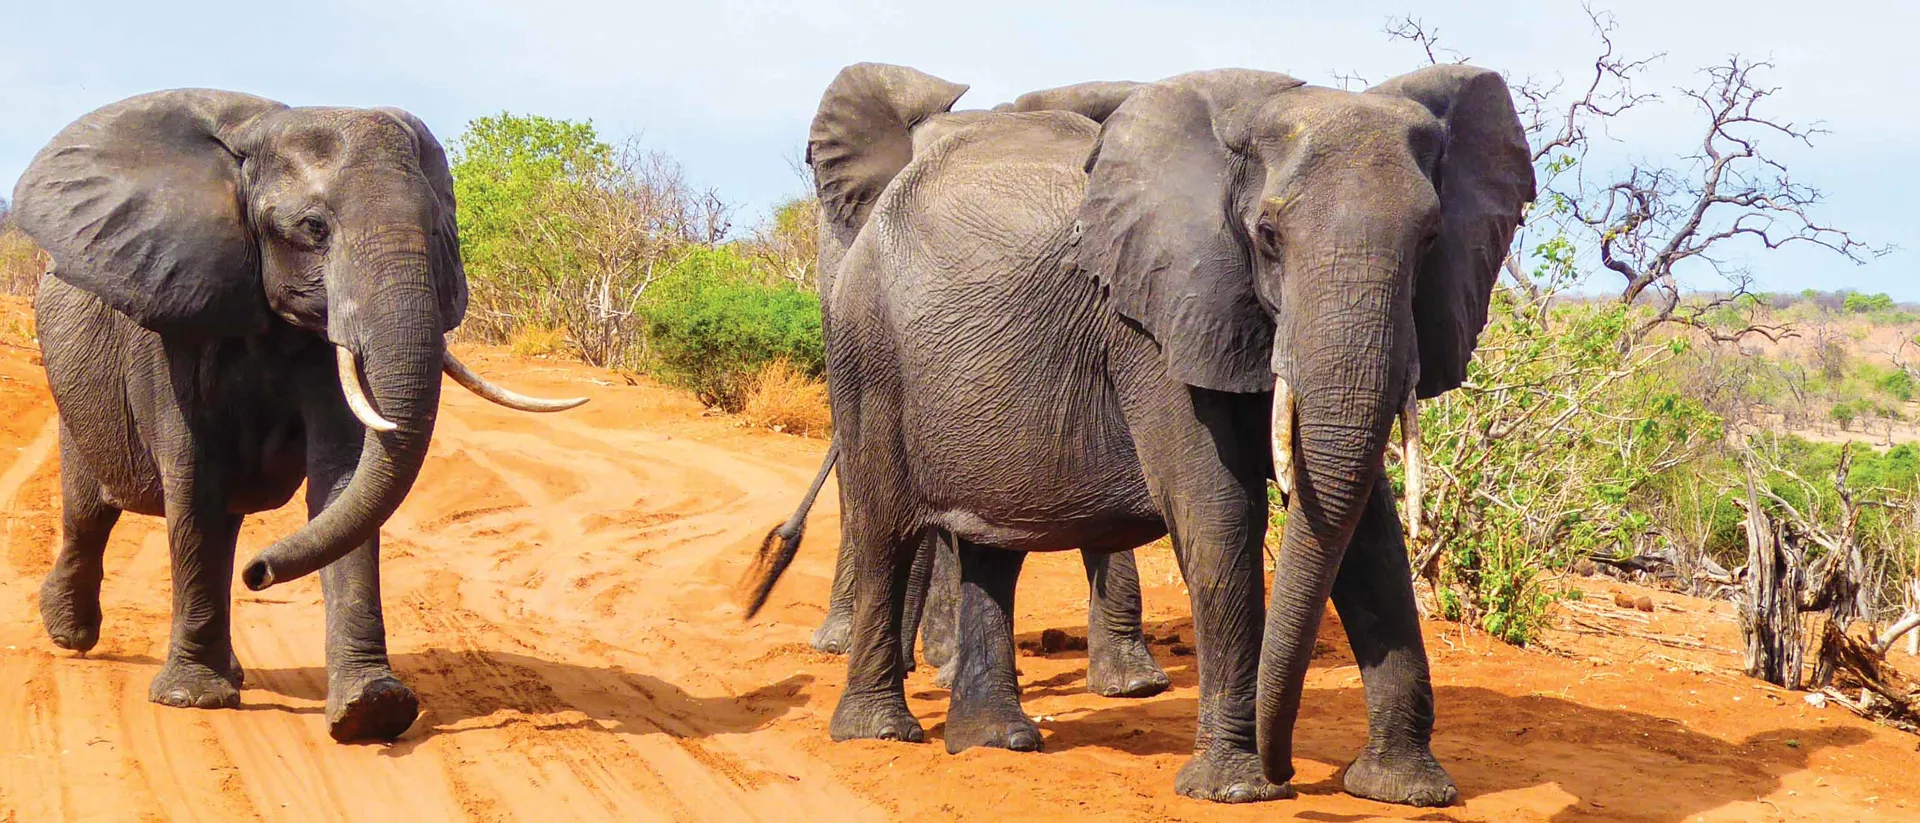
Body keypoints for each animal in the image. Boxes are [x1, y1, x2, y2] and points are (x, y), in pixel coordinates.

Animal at [11, 89, 586, 742]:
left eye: (438, 228)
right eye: (313, 229)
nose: (260, 573)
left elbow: (343, 479)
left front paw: (373, 710)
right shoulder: (172, 323)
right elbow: (193, 482)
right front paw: (192, 699)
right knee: (90, 509)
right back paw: (71, 632)